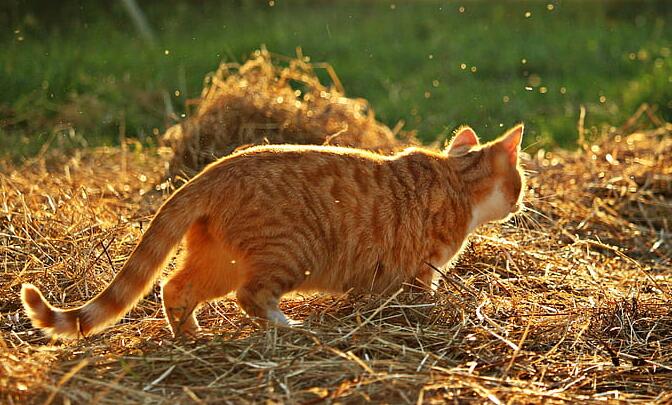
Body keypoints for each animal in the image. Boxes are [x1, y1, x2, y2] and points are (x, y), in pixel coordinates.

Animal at [19, 124, 524, 338]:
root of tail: (215, 169)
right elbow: (420, 296)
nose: (522, 203)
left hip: (218, 260)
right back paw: (287, 325)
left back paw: (190, 336)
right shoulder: (421, 269)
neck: (454, 179)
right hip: (287, 255)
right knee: (249, 297)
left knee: (173, 287)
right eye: (518, 182)